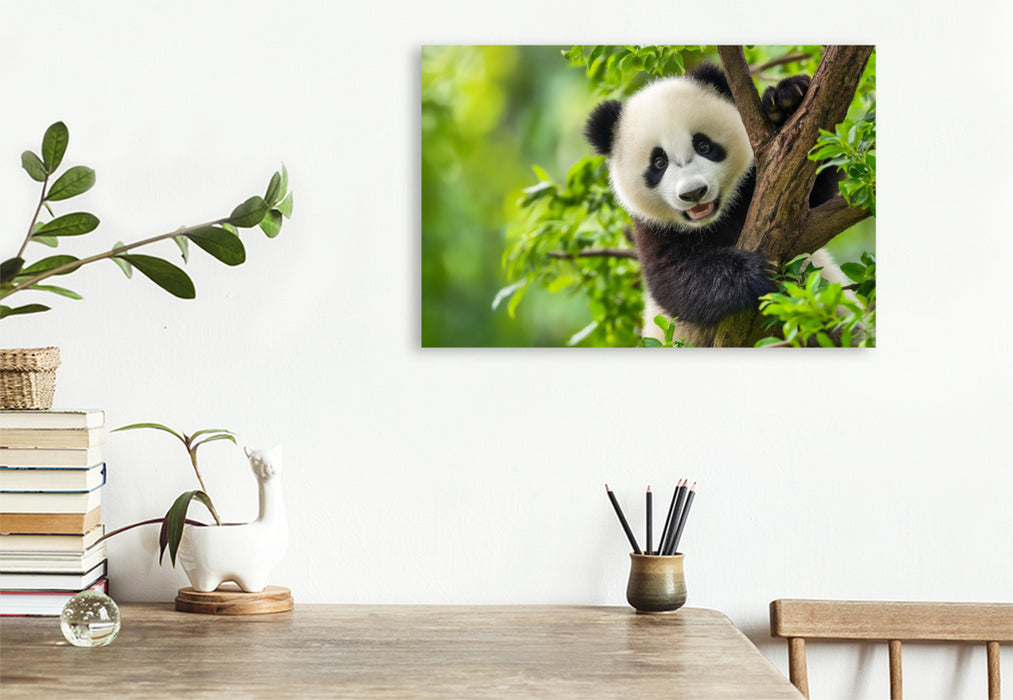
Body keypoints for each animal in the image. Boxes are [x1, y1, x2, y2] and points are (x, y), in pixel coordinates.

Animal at [584, 62, 845, 343]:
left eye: (703, 146)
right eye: (659, 162)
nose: (694, 193)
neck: (714, 222)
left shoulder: (759, 187)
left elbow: (811, 191)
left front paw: (787, 99)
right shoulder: (654, 231)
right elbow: (676, 282)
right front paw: (754, 273)